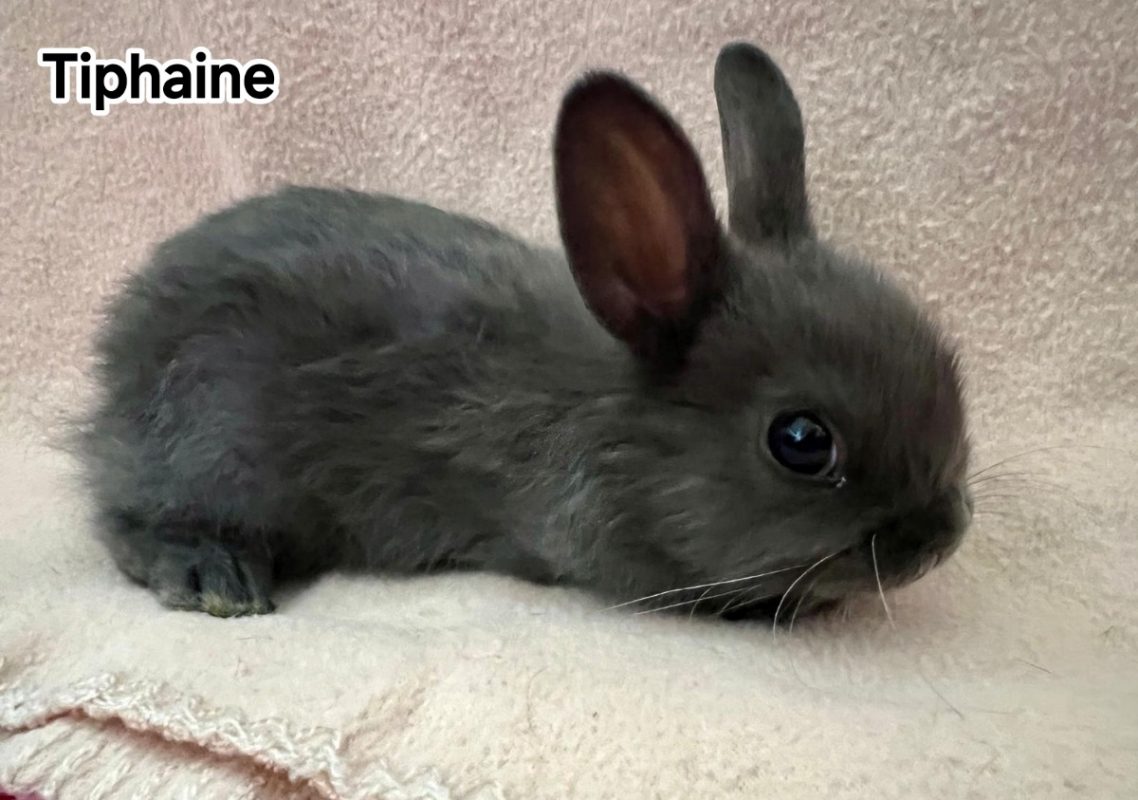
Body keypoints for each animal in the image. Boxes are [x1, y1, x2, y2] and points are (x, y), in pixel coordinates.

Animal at [77, 41, 972, 620]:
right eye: (801, 442)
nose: (942, 535)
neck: (617, 423)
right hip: (214, 448)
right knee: (125, 520)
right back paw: (211, 575)